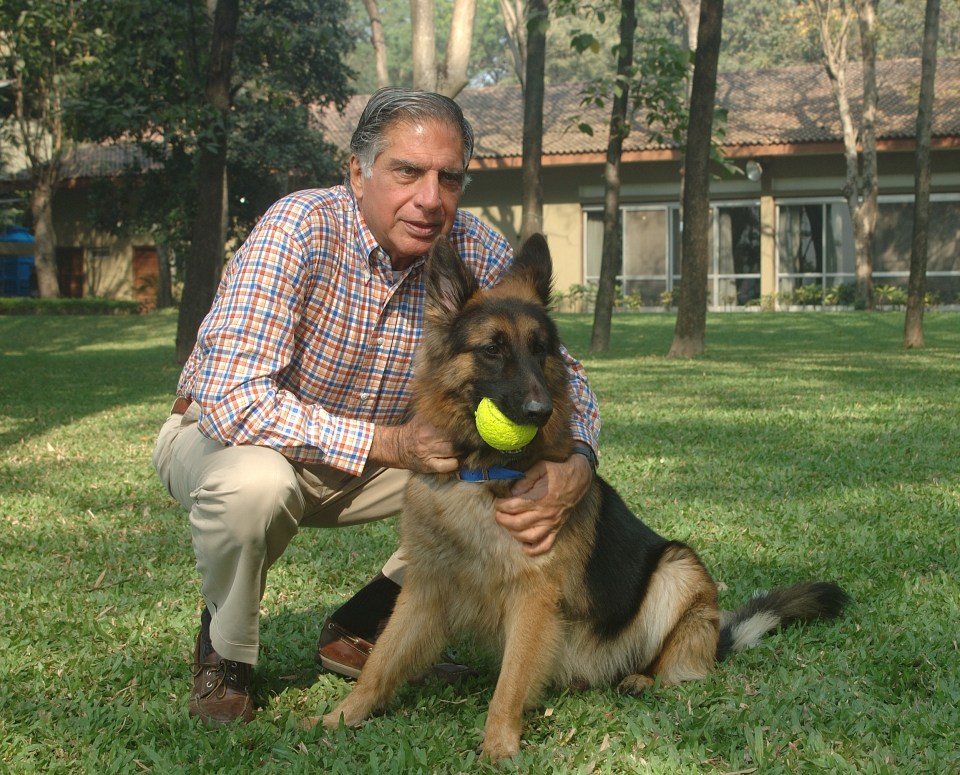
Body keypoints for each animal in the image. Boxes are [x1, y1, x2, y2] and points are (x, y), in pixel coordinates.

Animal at [326, 233, 852, 760]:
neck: (481, 472)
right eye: (492, 349)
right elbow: (382, 663)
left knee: (678, 667)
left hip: (677, 569)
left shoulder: (533, 598)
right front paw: (337, 718)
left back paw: (642, 678)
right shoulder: (425, 589)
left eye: (540, 350)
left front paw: (498, 746)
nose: (540, 410)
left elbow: (509, 685)